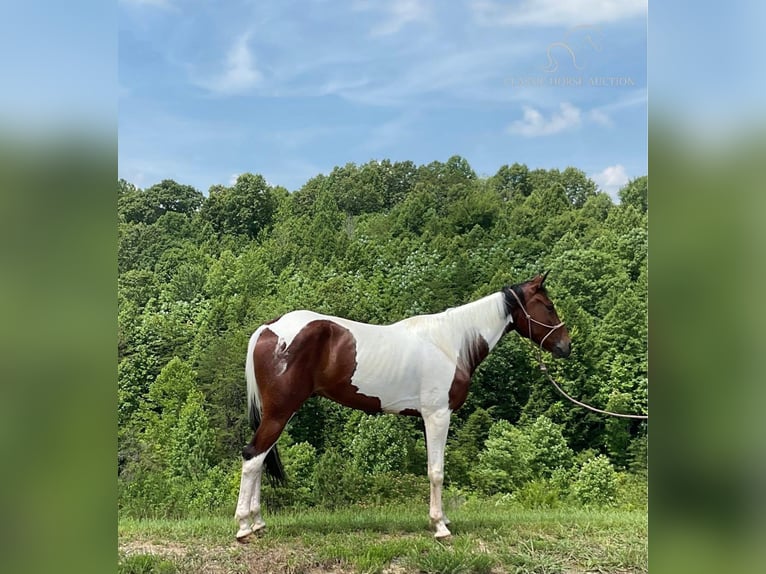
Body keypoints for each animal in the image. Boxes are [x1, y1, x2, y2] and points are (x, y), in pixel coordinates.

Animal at [234, 272, 568, 544]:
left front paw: (442, 519)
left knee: (260, 459)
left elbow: (432, 468)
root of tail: (268, 328)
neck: (452, 342)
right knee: (252, 457)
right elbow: (437, 471)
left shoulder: (427, 418)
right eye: (548, 306)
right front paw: (440, 527)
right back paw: (243, 527)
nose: (566, 346)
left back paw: (258, 523)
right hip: (280, 412)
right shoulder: (438, 415)